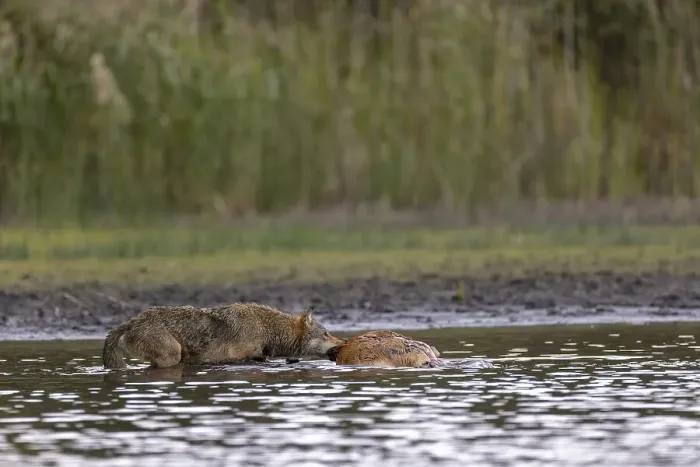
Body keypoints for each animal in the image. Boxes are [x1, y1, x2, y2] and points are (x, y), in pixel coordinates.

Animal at [102, 302, 344, 369]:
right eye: (326, 333)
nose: (344, 341)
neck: (266, 328)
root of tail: (132, 321)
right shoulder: (239, 357)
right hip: (172, 355)